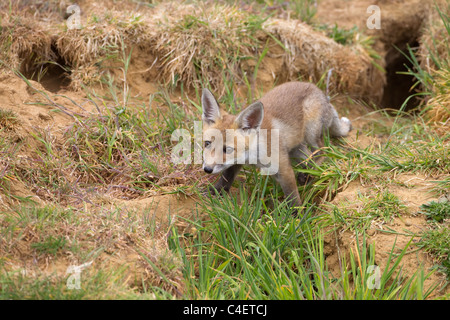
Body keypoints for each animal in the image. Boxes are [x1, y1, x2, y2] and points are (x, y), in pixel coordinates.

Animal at [202, 81, 354, 211]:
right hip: (295, 148)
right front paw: (214, 192)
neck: (253, 156)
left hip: (311, 133)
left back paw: (309, 171)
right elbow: (226, 177)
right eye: (207, 143)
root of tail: (320, 92)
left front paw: (296, 217)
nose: (207, 169)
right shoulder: (237, 161)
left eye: (227, 149)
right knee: (307, 155)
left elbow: (292, 196)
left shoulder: (284, 168)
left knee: (322, 151)